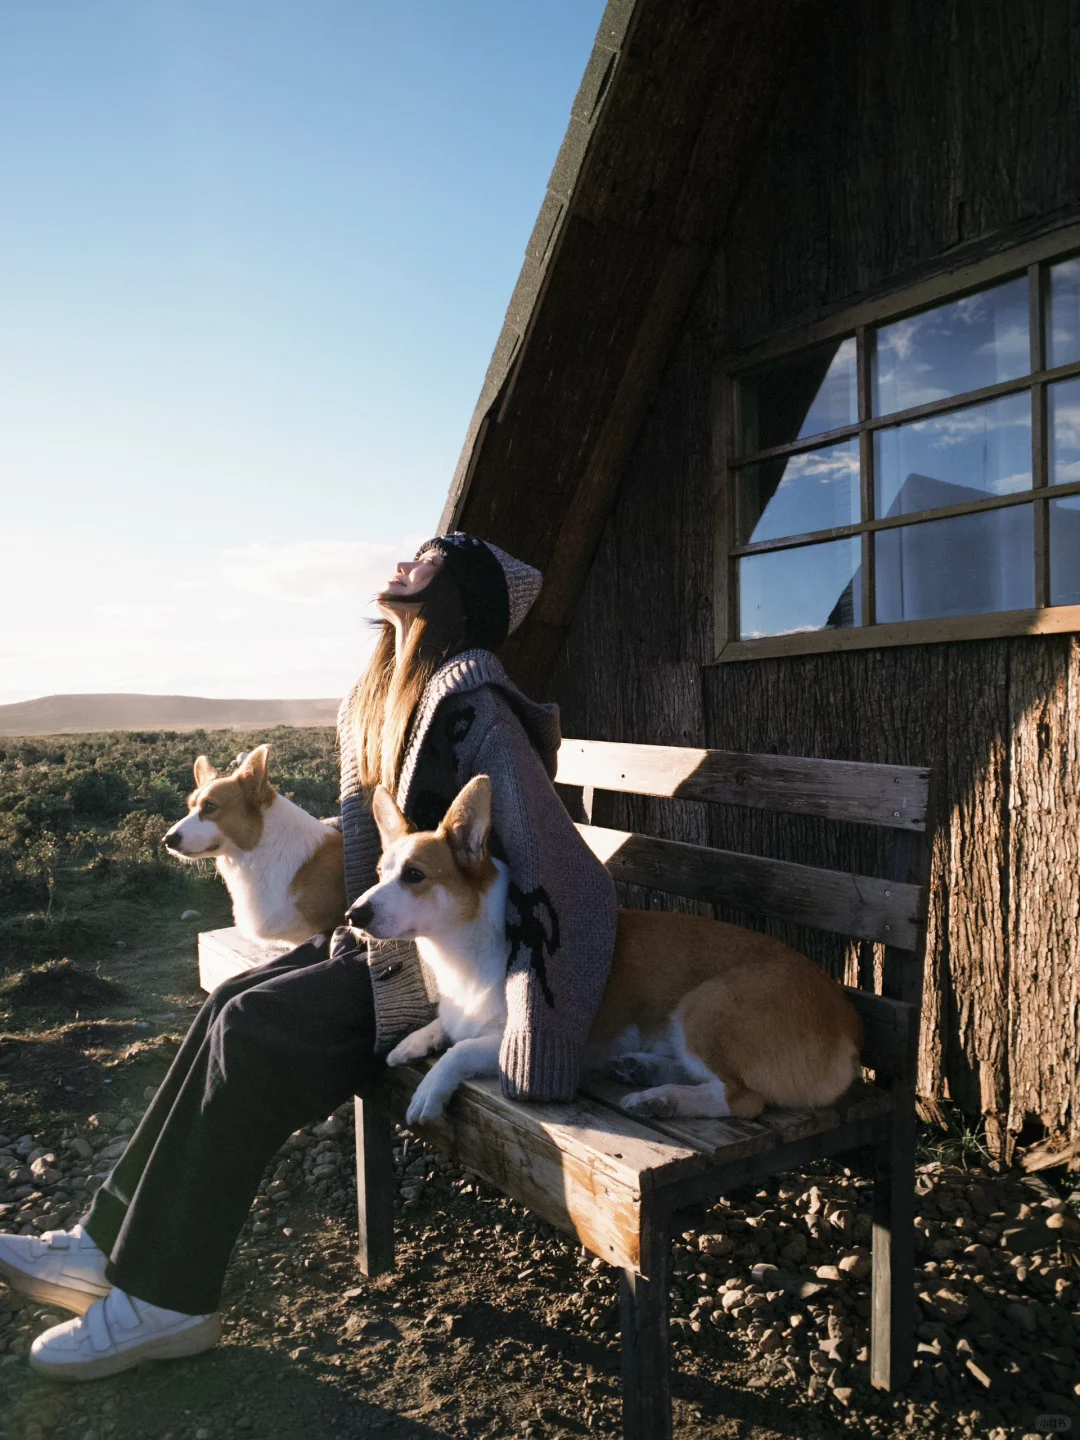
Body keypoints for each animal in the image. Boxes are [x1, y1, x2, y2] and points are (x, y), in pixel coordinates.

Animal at [348, 777, 864, 1123]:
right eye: (379, 872)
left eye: (414, 875)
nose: (354, 915)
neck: (463, 950)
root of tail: (851, 1027)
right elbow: (446, 1028)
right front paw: (414, 1041)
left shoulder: (526, 1044)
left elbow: (461, 1050)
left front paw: (429, 1090)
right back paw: (645, 1071)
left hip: (705, 1004)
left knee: (742, 1099)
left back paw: (662, 1099)